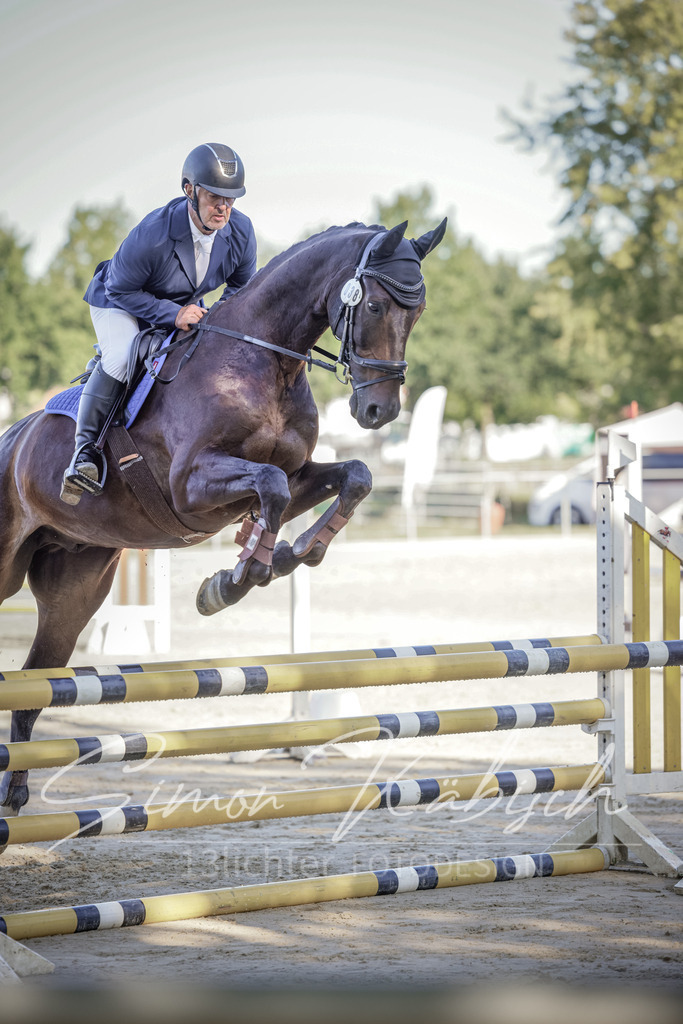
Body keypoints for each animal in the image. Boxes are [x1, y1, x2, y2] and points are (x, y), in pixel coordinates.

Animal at [0, 216, 447, 815]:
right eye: (374, 305)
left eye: (416, 313)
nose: (380, 411)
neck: (268, 362)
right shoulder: (190, 486)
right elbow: (270, 486)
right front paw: (239, 578)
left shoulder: (292, 475)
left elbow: (350, 477)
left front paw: (286, 557)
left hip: (74, 585)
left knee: (34, 684)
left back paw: (17, 795)